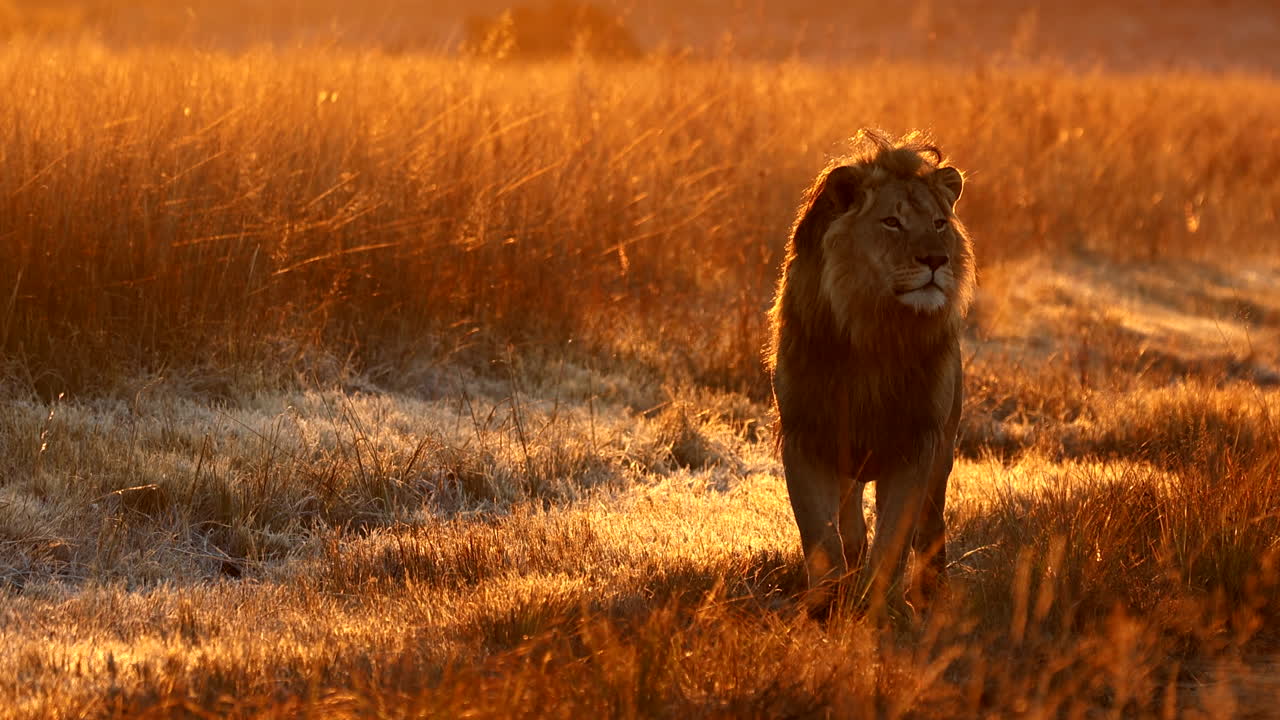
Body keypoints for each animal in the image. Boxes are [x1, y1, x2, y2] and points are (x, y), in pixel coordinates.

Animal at [766, 130, 974, 619]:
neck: (876, 332)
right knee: (850, 525)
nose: (936, 260)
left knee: (930, 526)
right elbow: (820, 536)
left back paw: (929, 594)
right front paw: (823, 608)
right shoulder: (807, 437)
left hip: (944, 451)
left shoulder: (916, 442)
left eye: (939, 223)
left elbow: (894, 539)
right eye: (891, 223)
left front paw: (879, 610)